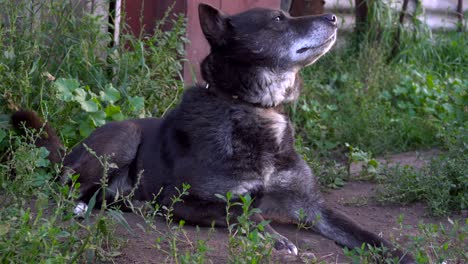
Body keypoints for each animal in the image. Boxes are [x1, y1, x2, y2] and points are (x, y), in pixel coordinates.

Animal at [11, 3, 414, 262]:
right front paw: (276, 240)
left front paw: (403, 254)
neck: (254, 110)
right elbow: (240, 211)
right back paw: (84, 203)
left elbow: (363, 233)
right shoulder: (184, 200)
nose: (332, 16)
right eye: (278, 19)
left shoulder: (311, 205)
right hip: (124, 135)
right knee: (70, 185)